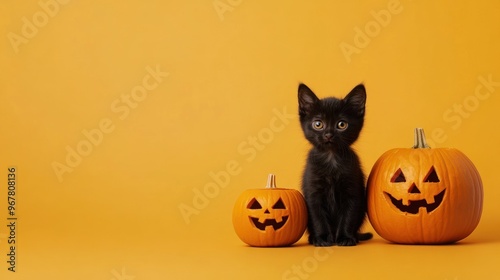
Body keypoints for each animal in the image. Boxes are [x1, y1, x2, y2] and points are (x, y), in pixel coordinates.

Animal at [296, 83, 372, 247]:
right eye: (318, 124)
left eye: (341, 124)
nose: (328, 134)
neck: (331, 159)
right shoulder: (313, 191)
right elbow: (318, 217)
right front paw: (323, 238)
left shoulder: (352, 190)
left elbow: (349, 216)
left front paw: (345, 237)